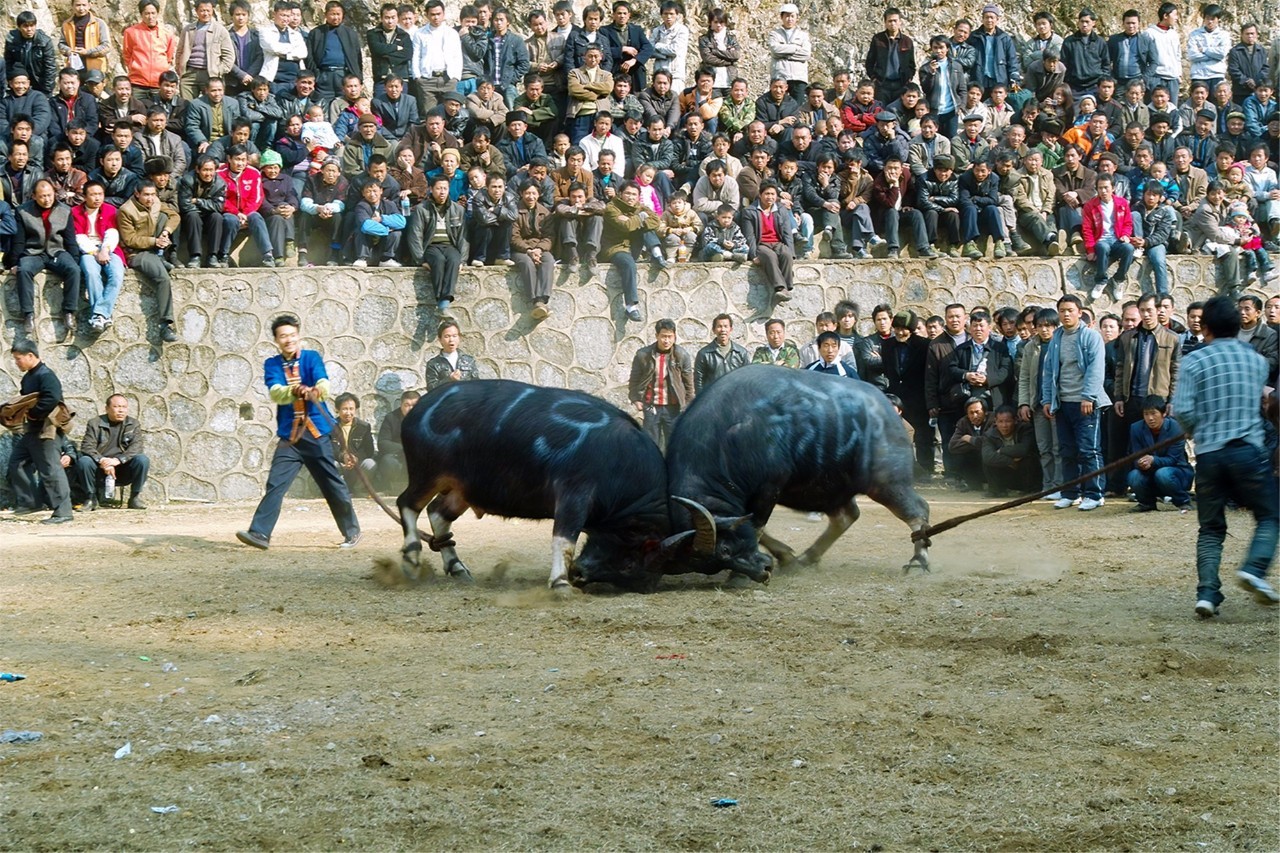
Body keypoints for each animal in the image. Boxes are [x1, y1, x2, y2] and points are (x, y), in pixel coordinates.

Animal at [399, 379, 675, 591]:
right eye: (629, 564)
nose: (580, 576)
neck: (620, 460)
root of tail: (419, 408)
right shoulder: (574, 494)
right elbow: (564, 540)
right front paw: (560, 583)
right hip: (427, 475)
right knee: (407, 504)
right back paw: (411, 557)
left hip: (462, 490)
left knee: (438, 513)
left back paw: (458, 568)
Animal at [665, 361, 926, 581]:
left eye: (725, 549)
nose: (763, 571)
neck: (730, 433)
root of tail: (887, 410)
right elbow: (756, 527)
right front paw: (787, 558)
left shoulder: (769, 487)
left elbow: (757, 527)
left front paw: (739, 576)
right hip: (832, 488)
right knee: (847, 516)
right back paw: (807, 558)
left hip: (887, 482)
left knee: (918, 510)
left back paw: (918, 561)